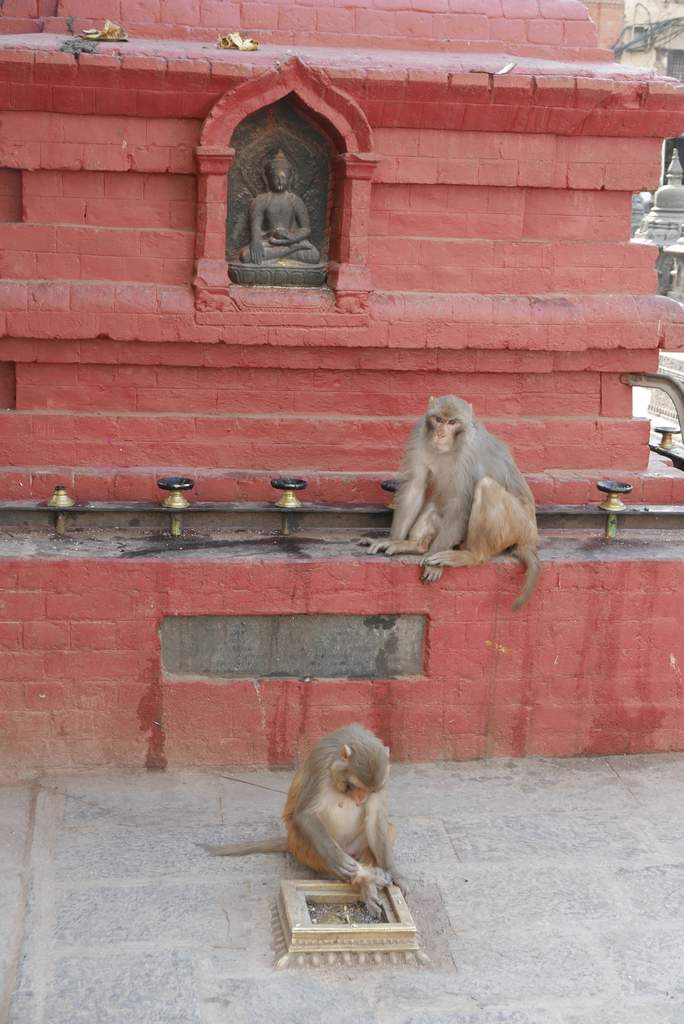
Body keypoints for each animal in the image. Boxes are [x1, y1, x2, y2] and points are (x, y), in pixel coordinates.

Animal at [207, 724, 404, 915]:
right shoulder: (321, 765)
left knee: (389, 828)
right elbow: (305, 813)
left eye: (370, 791)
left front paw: (394, 873)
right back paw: (365, 880)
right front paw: (338, 859)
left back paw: (372, 878)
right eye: (355, 786)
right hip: (300, 846)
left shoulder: (383, 777)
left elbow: (375, 820)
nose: (361, 799)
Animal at [361, 394, 540, 609]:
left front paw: (432, 561)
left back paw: (472, 555)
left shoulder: (470, 455)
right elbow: (415, 486)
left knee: (486, 486)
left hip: (517, 525)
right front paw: (392, 540)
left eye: (452, 422)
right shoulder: (418, 434)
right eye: (439, 420)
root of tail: (530, 537)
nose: (440, 434)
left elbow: (460, 503)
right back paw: (414, 545)